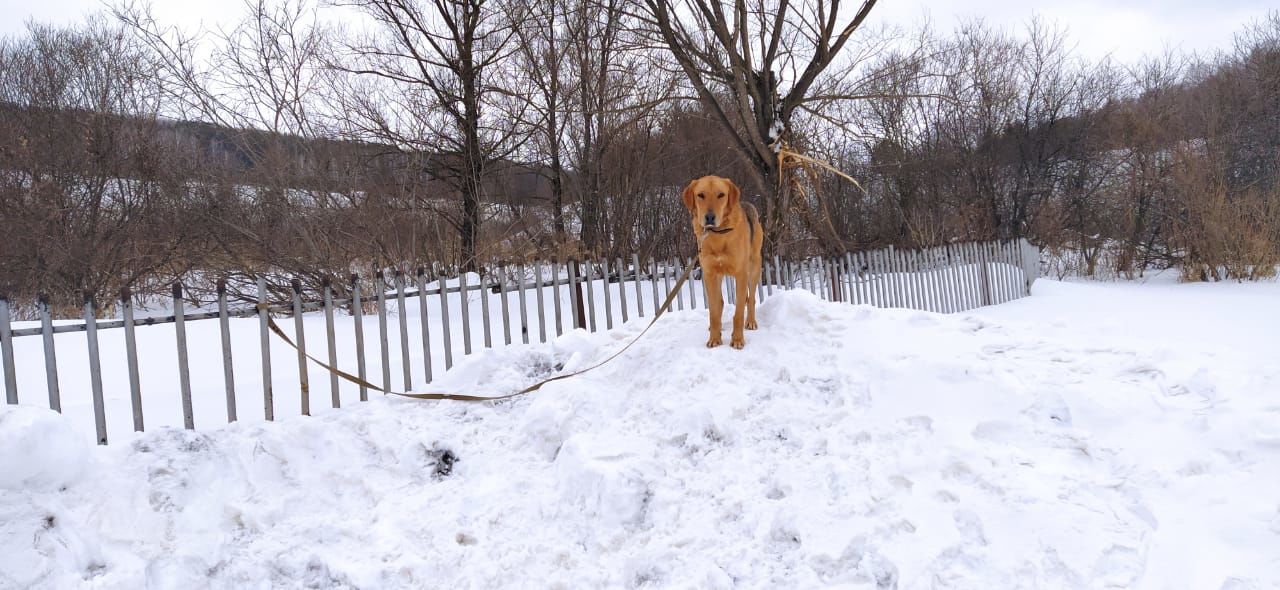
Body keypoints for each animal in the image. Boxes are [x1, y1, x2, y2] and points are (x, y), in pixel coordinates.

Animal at [686, 175, 762, 350]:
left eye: (721, 195)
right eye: (700, 195)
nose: (709, 217)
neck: (718, 234)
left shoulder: (741, 274)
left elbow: (739, 312)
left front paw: (738, 339)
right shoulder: (709, 274)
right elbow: (713, 312)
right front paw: (714, 338)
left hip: (754, 268)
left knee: (751, 298)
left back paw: (751, 322)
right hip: (718, 276)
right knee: (720, 303)